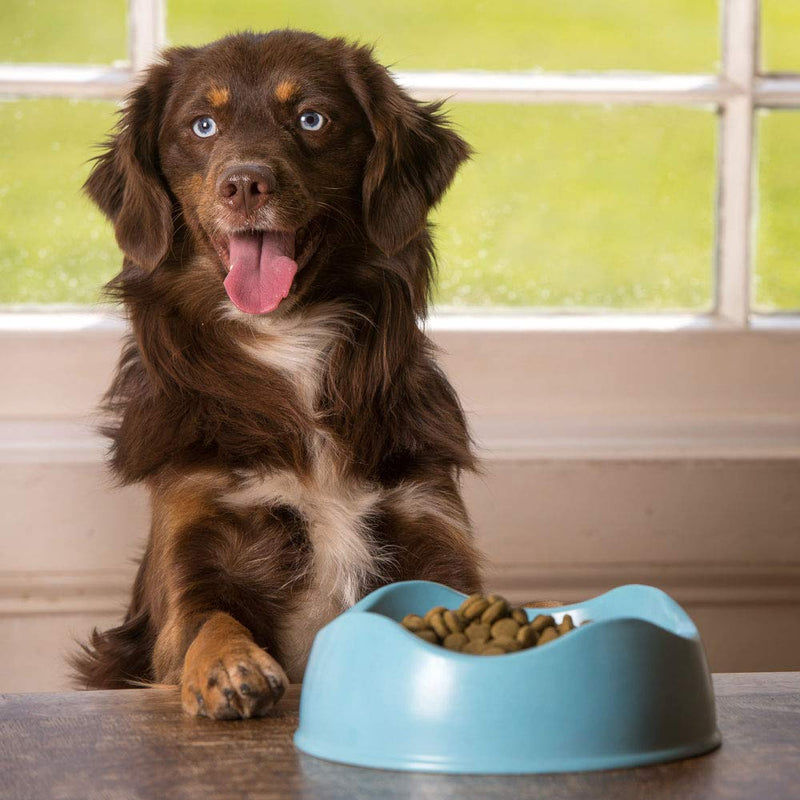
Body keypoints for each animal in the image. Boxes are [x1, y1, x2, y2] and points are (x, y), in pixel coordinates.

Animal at [72, 29, 482, 720]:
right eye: (202, 126)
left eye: (312, 119)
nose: (244, 184)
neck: (287, 342)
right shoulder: (191, 541)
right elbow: (207, 618)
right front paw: (230, 667)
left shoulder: (432, 529)